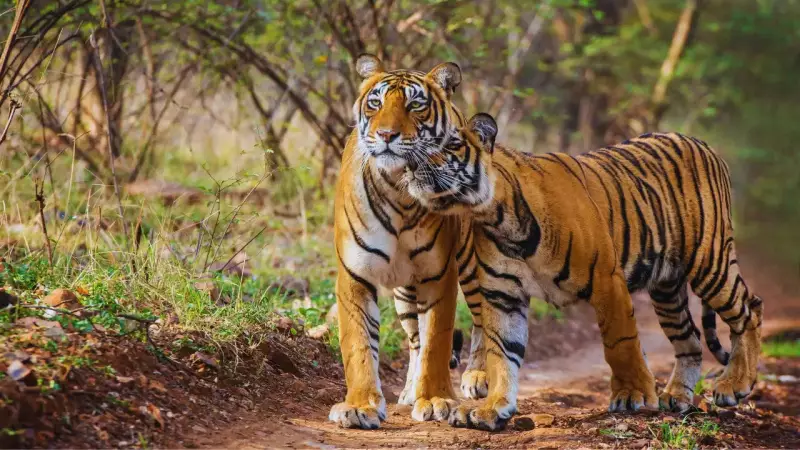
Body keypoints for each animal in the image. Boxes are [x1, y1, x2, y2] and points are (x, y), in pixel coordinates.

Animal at [329, 54, 470, 429]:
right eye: (375, 103)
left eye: (415, 105)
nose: (386, 135)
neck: (399, 188)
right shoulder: (355, 275)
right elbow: (359, 345)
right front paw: (359, 406)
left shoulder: (440, 274)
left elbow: (437, 339)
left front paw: (435, 400)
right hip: (405, 291)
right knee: (414, 339)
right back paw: (408, 392)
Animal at [403, 112, 763, 430]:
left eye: (450, 144)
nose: (410, 164)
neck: (494, 215)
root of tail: (701, 142)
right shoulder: (502, 294)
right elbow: (502, 353)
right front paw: (492, 408)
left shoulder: (607, 279)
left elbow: (620, 342)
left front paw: (632, 394)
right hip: (666, 287)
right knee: (690, 340)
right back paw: (676, 397)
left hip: (710, 261)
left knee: (749, 310)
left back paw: (734, 385)